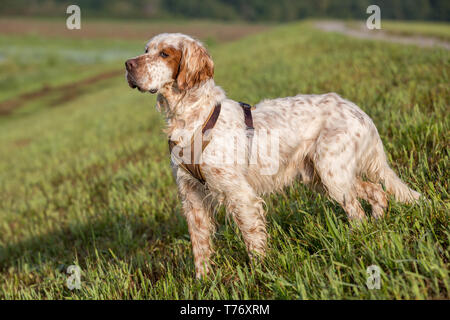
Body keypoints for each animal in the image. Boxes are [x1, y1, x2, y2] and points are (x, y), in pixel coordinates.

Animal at [124, 33, 422, 278]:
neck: (192, 118)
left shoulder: (239, 194)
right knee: (376, 191)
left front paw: (260, 273)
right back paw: (377, 224)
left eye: (165, 54)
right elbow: (200, 245)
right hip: (323, 176)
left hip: (332, 174)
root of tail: (358, 110)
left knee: (357, 210)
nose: (127, 64)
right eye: (146, 49)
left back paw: (355, 238)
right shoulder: (191, 196)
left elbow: (252, 237)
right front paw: (203, 281)